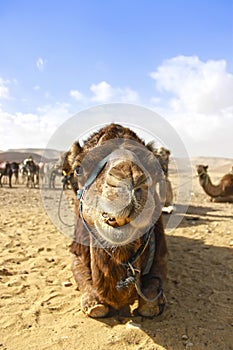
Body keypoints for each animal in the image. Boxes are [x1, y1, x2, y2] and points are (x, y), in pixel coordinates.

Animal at [63, 122, 167, 318]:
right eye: (78, 169)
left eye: (155, 168)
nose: (130, 178)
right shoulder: (76, 250)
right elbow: (80, 272)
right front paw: (93, 302)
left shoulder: (161, 253)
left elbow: (154, 285)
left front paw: (152, 303)